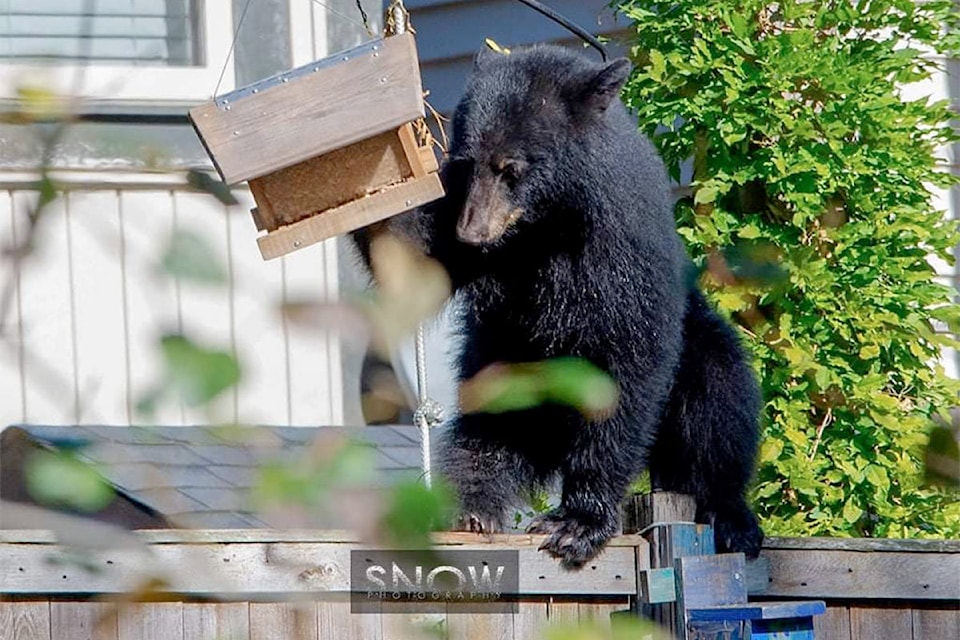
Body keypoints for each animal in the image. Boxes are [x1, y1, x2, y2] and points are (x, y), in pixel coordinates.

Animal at [354, 45, 764, 568]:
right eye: (465, 164)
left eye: (512, 168)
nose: (472, 233)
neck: (548, 225)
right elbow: (414, 262)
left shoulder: (620, 254)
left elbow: (625, 367)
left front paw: (578, 523)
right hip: (510, 368)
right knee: (491, 426)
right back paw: (469, 504)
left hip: (697, 347)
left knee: (717, 406)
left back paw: (731, 516)